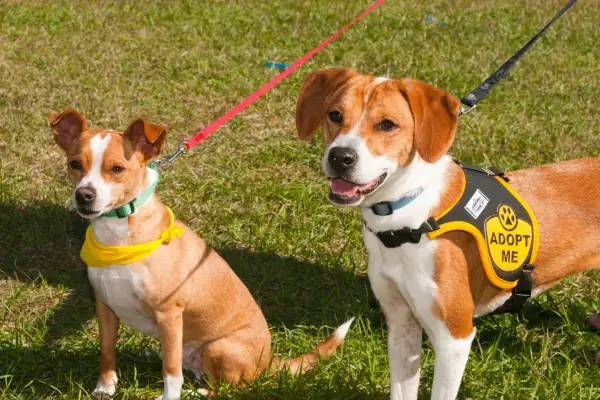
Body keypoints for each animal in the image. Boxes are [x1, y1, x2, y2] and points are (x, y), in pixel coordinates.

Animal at [51, 109, 354, 400]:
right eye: (75, 164)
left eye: (117, 169)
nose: (84, 195)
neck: (120, 237)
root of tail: (267, 362)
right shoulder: (104, 305)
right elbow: (107, 352)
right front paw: (105, 387)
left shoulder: (169, 315)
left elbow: (171, 372)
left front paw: (168, 397)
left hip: (219, 348)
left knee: (229, 387)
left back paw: (198, 392)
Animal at [296, 67, 600, 398]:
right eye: (335, 115)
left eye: (387, 124)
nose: (340, 157)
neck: (409, 217)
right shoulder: (402, 324)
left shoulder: (454, 337)